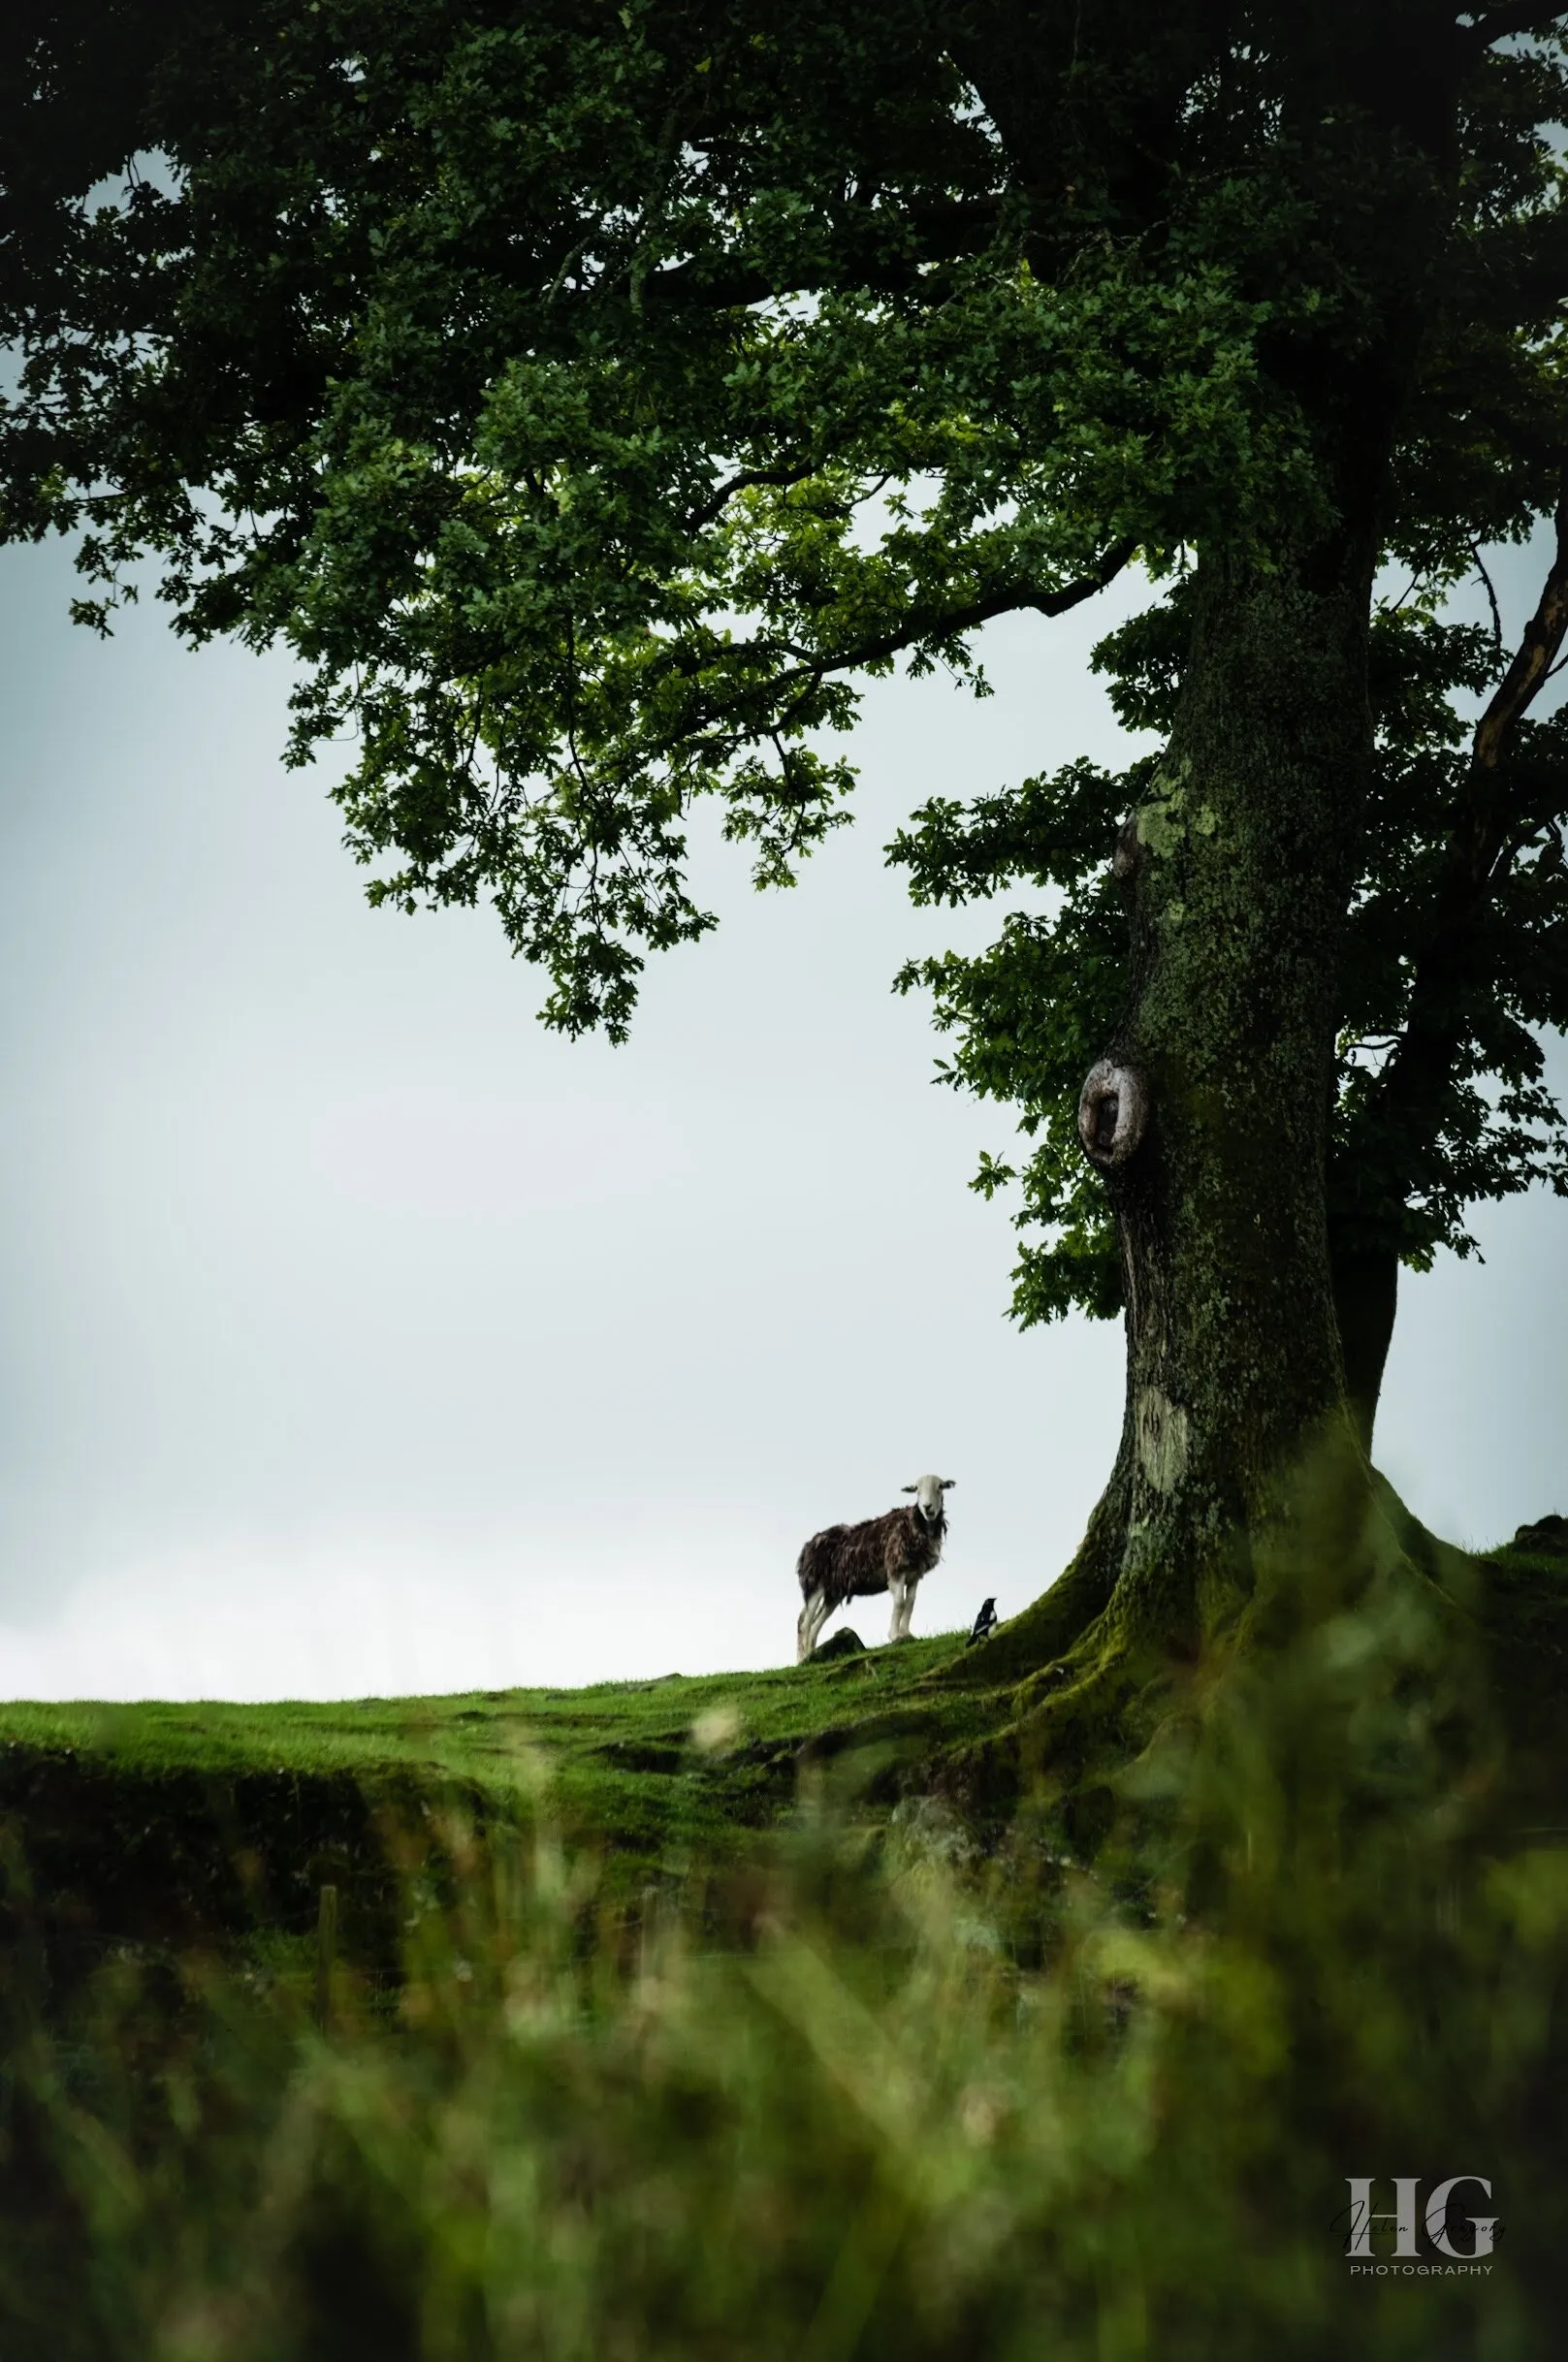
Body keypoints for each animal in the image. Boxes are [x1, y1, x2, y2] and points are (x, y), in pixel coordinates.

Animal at [795, 1475, 954, 1662]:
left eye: (940, 1487)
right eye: (917, 1490)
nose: (927, 1507)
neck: (917, 1525)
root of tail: (808, 1546)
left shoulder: (914, 1574)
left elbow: (910, 1603)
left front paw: (906, 1634)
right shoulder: (895, 1570)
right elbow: (899, 1602)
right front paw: (895, 1635)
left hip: (833, 1592)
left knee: (816, 1623)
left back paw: (812, 1655)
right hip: (814, 1584)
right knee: (804, 1621)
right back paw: (802, 1659)